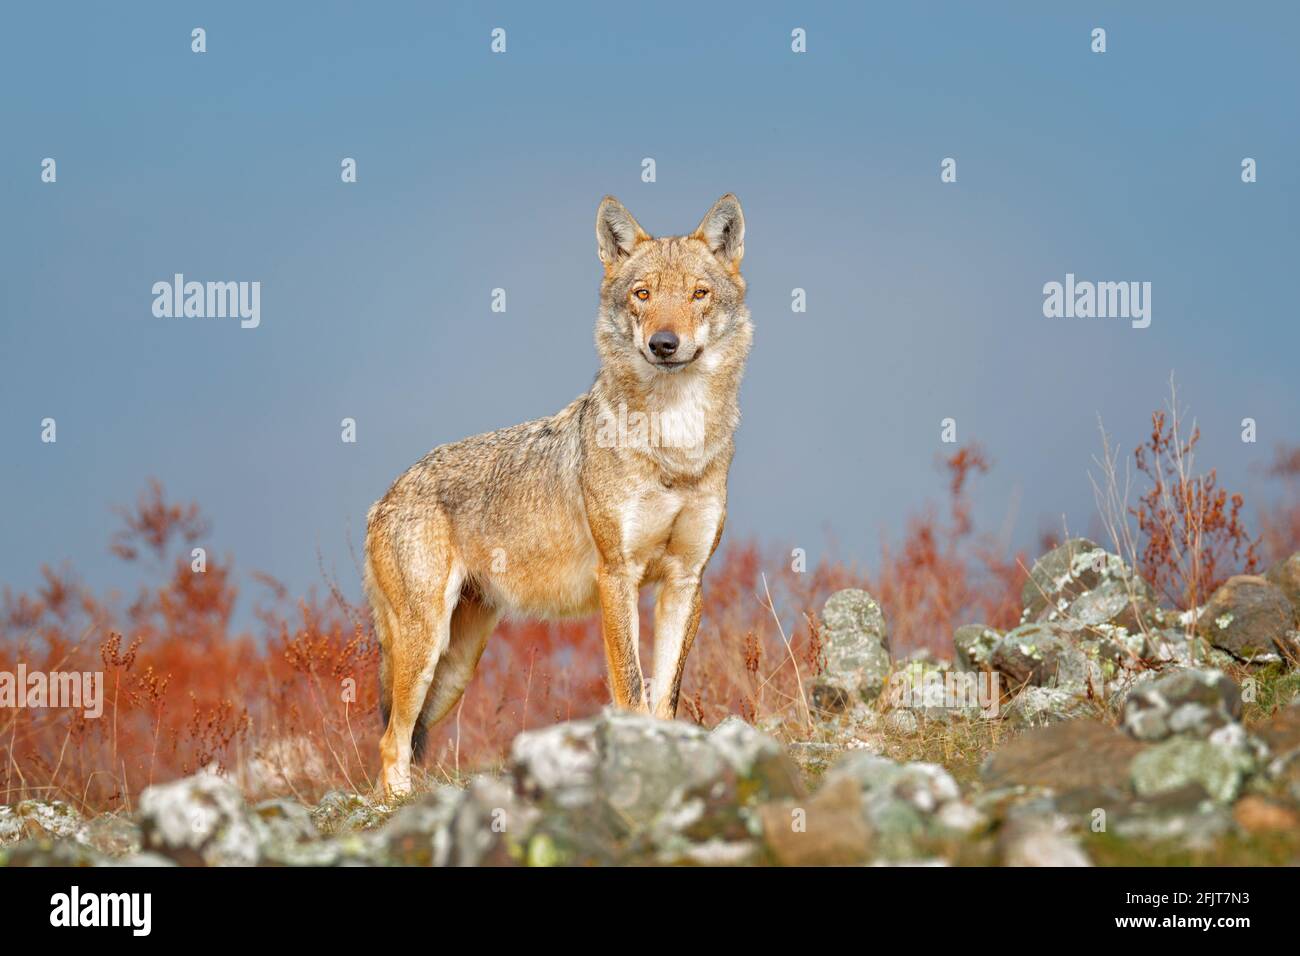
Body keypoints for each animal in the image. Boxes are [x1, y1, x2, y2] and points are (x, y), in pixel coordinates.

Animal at [364, 192, 754, 790]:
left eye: (698, 294)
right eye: (643, 295)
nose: (664, 344)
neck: (675, 445)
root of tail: (383, 496)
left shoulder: (686, 581)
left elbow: (665, 697)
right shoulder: (616, 576)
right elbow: (631, 689)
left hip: (456, 666)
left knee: (405, 737)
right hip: (424, 646)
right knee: (391, 740)